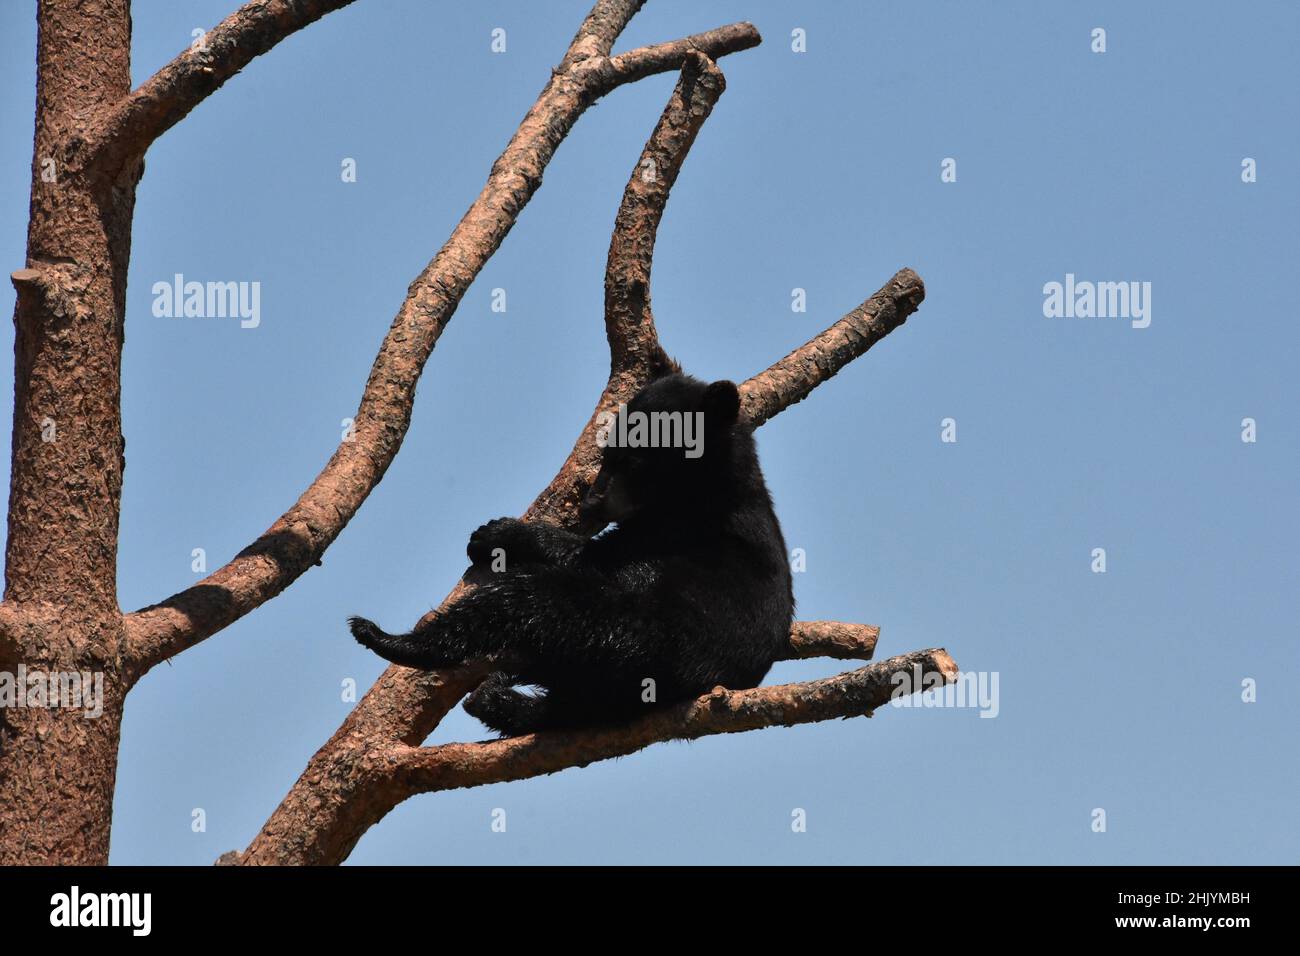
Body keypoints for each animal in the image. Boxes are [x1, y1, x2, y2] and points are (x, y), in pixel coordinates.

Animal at [349, 371, 794, 736]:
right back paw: (495, 689)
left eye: (631, 460)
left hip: (633, 633)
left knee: (530, 602)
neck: (707, 488)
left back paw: (391, 639)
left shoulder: (681, 529)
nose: (591, 502)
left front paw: (497, 533)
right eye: (607, 455)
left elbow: (593, 555)